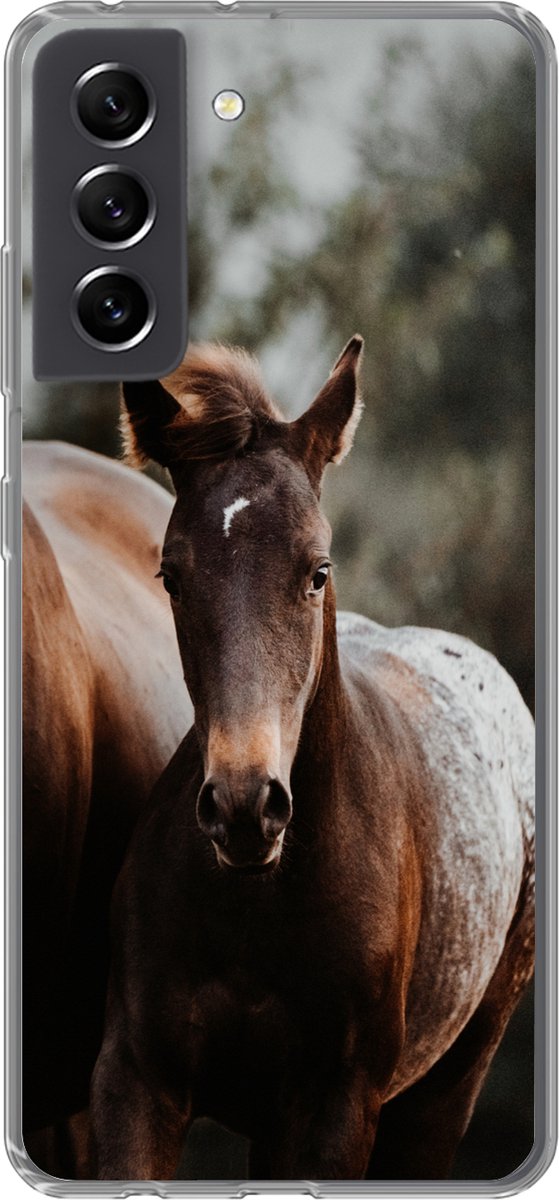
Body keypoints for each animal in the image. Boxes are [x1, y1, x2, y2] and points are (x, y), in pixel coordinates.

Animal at [90, 338, 535, 1180]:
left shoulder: (335, 1108)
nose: (243, 806)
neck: (259, 902)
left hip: (441, 1095)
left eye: (317, 571)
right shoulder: (139, 1081)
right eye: (171, 575)